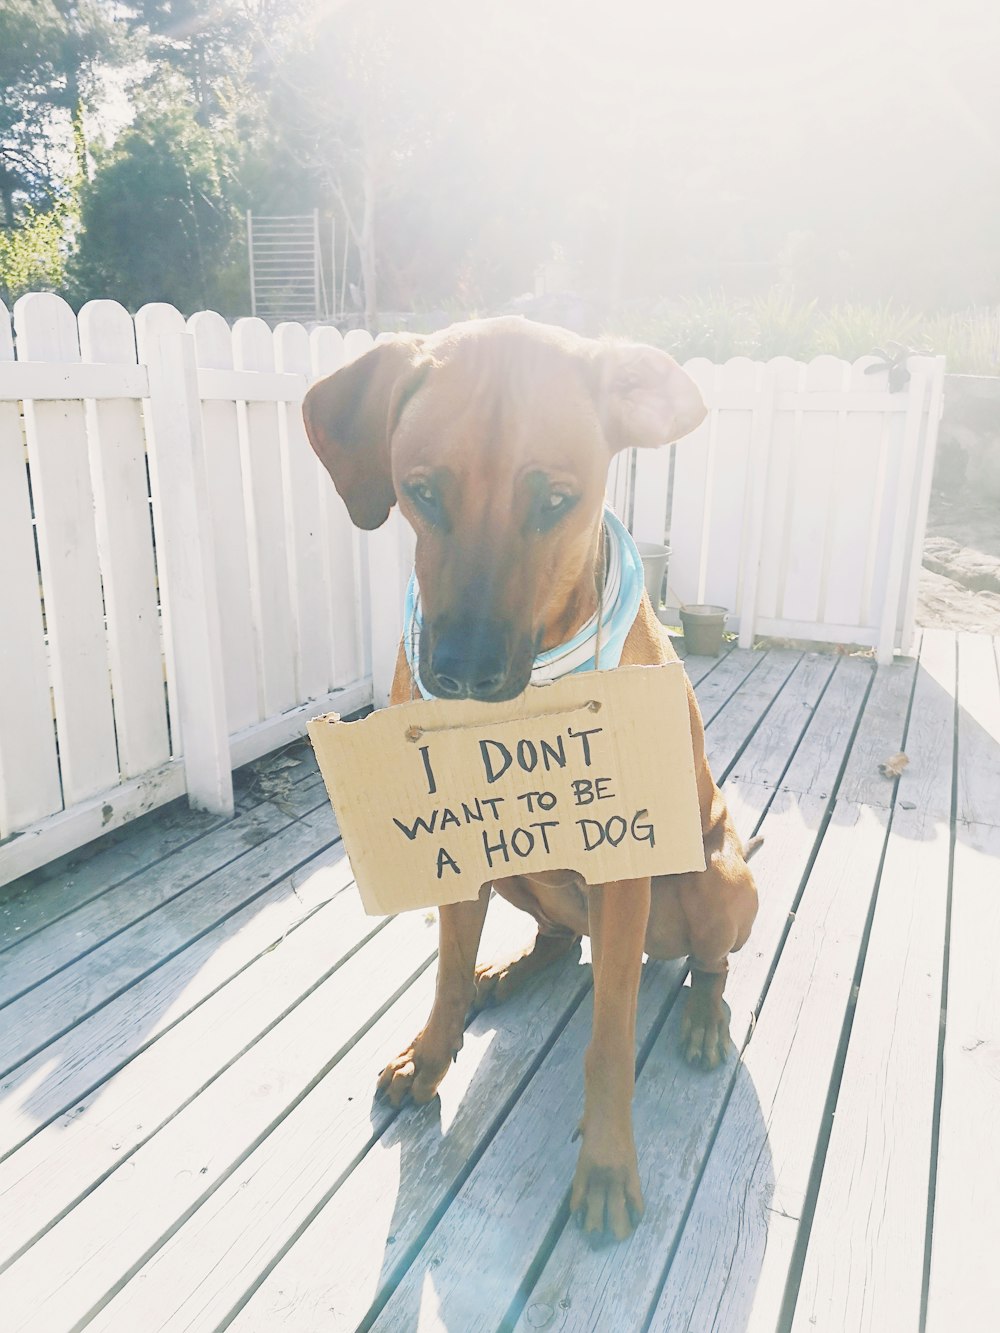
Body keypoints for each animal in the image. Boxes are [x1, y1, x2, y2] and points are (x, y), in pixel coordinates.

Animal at [305, 317, 757, 1242]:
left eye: (554, 500)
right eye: (421, 490)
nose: (461, 670)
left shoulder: (624, 859)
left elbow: (610, 1038)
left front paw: (609, 1164)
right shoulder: (460, 842)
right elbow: (443, 972)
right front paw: (431, 1053)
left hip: (719, 875)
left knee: (709, 964)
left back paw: (701, 1015)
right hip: (521, 872)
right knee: (555, 940)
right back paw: (506, 971)